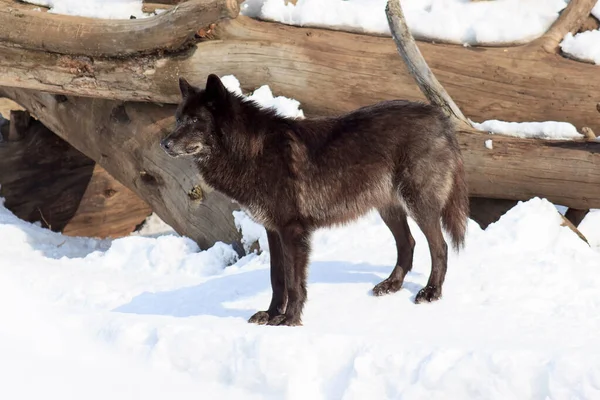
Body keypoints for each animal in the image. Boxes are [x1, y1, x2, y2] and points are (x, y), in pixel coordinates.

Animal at [159, 74, 468, 324]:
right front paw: (270, 315)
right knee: (408, 243)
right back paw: (391, 285)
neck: (252, 150)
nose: (164, 144)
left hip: (419, 205)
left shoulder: (293, 230)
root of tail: (439, 117)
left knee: (439, 246)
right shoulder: (273, 230)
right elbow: (277, 278)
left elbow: (295, 283)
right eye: (178, 119)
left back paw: (431, 291)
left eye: (195, 120)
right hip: (388, 208)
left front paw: (290, 320)